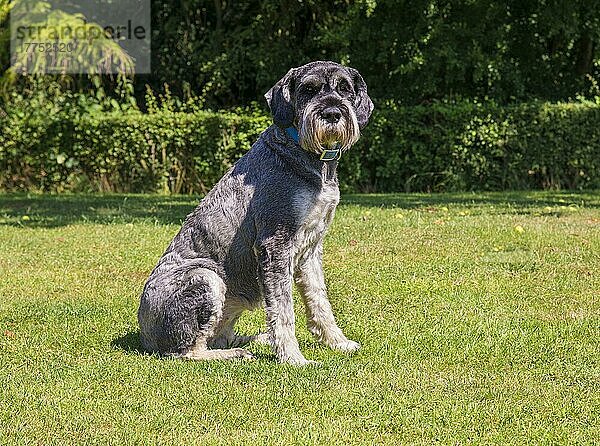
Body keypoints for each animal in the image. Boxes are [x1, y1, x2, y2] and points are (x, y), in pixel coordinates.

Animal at [138, 60, 372, 366]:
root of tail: (145, 335)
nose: (331, 113)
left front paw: (338, 342)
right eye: (309, 89)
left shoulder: (311, 249)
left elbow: (319, 298)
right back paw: (235, 353)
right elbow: (283, 310)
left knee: (219, 335)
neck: (307, 157)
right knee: (187, 351)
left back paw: (255, 339)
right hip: (206, 279)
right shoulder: (275, 243)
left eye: (344, 88)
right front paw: (293, 358)